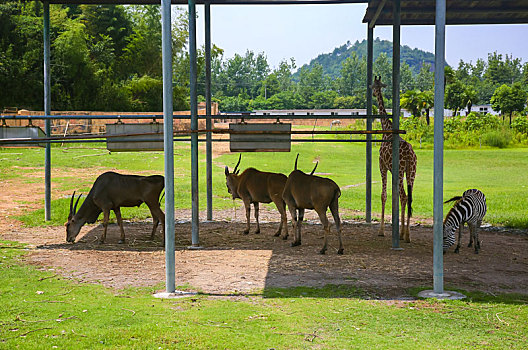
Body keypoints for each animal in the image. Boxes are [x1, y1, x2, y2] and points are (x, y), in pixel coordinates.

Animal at [372, 75, 416, 242]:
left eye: (373, 86)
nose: (373, 93)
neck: (386, 128)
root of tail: (410, 154)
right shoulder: (392, 169)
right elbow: (395, 196)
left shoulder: (382, 165)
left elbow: (384, 195)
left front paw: (381, 230)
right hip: (411, 171)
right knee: (407, 196)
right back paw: (406, 235)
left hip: (400, 170)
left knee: (403, 196)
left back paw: (404, 234)